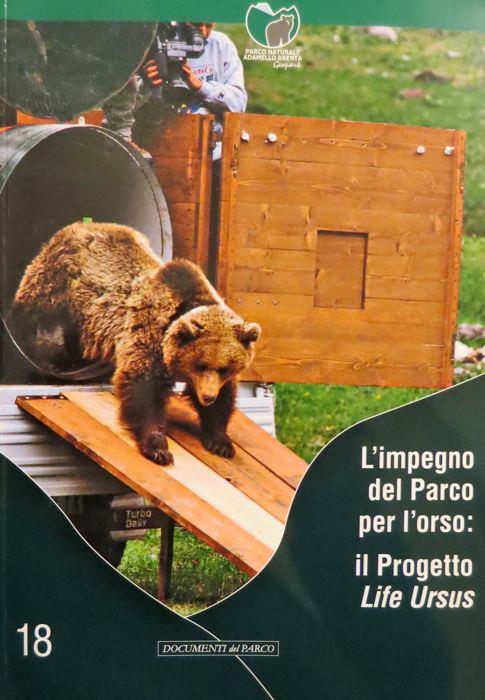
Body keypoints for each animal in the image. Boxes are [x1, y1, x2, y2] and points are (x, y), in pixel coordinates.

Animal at [10, 222, 262, 465]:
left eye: (224, 368)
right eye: (200, 364)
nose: (208, 397)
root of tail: (81, 224)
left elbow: (225, 398)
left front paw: (221, 441)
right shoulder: (149, 332)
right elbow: (143, 388)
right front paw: (158, 449)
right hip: (57, 277)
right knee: (31, 308)